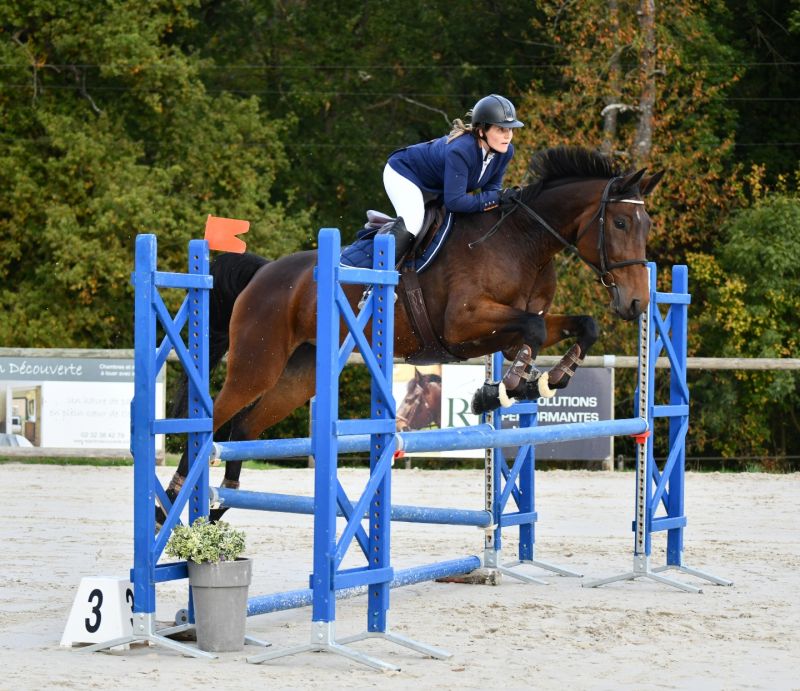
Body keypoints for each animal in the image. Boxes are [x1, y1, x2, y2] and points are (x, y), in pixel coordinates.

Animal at [161, 146, 664, 516]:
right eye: (620, 222)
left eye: (646, 225)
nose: (637, 302)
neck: (521, 242)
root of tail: (263, 273)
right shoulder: (464, 323)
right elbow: (535, 329)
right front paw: (503, 390)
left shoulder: (499, 332)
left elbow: (575, 326)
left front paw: (542, 381)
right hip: (257, 364)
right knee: (214, 418)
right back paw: (171, 501)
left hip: (297, 376)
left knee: (242, 425)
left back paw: (219, 503)